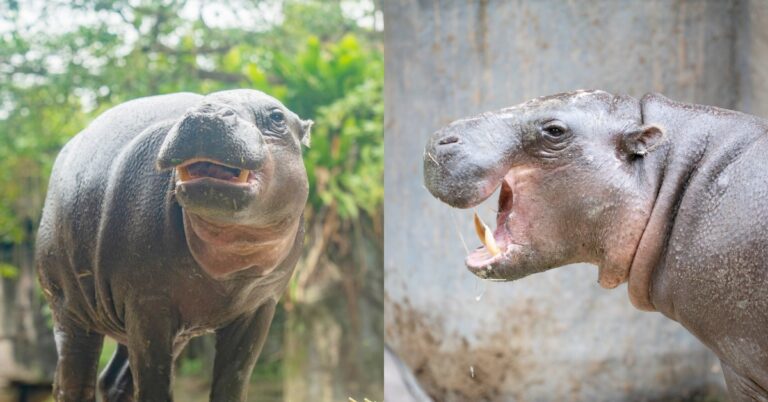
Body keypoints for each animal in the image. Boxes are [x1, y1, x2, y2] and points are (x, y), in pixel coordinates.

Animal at [36, 88, 312, 402]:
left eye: (277, 117)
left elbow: (234, 381)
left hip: (164, 329)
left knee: (113, 380)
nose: (207, 114)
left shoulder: (260, 306)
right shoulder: (148, 303)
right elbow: (154, 383)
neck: (234, 260)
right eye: (200, 103)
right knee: (72, 380)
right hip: (70, 308)